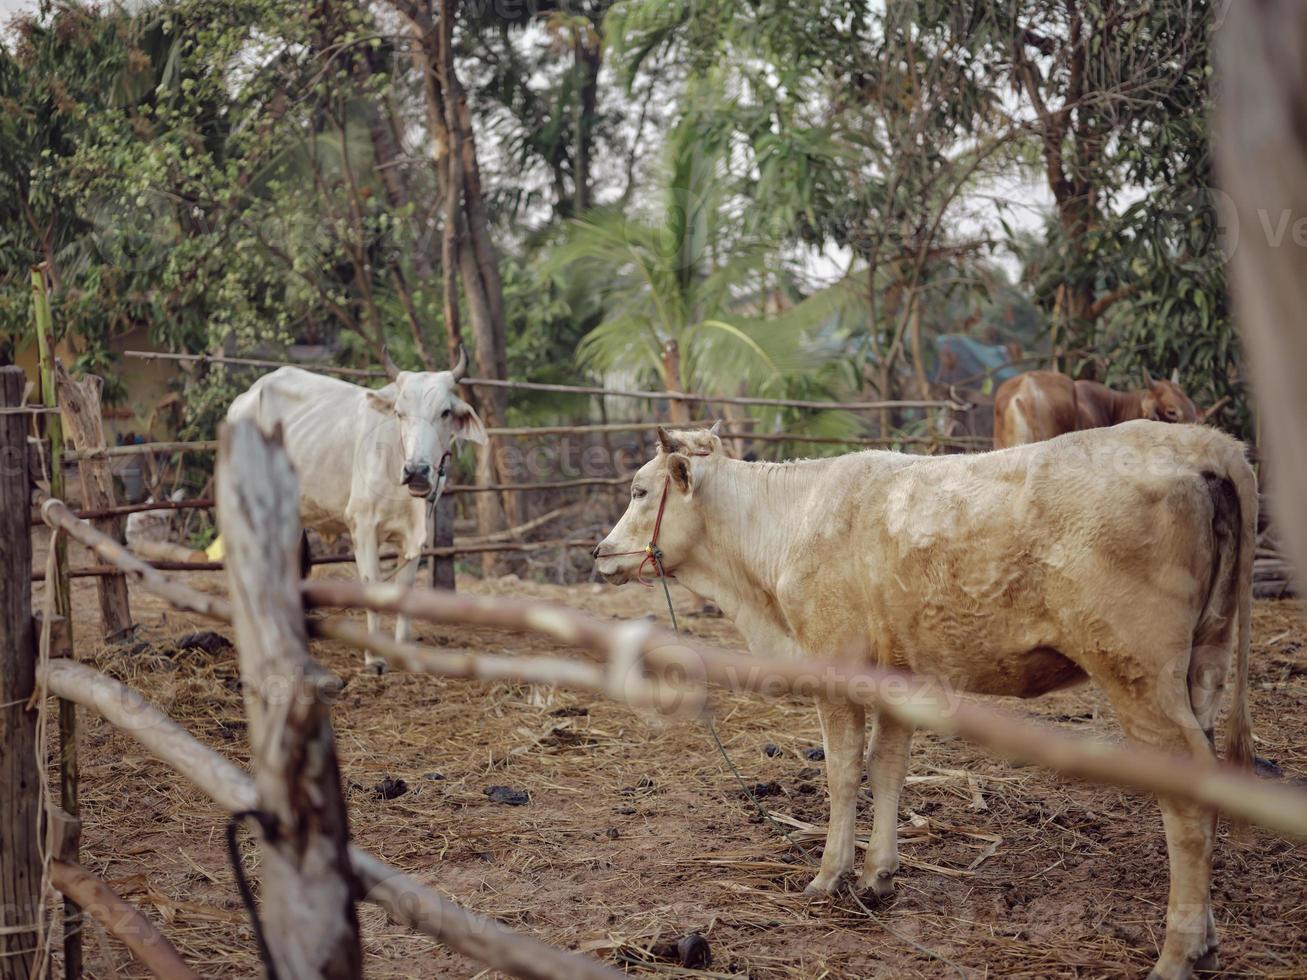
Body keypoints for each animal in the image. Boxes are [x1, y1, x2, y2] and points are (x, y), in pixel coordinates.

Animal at [228, 350, 486, 663]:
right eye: (399, 413)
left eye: (445, 412)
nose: (416, 471)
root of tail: (246, 397)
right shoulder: (362, 526)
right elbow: (371, 583)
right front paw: (374, 657)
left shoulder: (415, 535)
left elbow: (405, 589)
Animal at [595, 423, 1254, 980]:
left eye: (639, 490)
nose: (600, 553)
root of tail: (1201, 442)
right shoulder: (898, 678)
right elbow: (888, 768)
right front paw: (877, 875)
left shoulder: (835, 667)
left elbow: (843, 772)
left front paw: (829, 875)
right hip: (1203, 668)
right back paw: (1206, 943)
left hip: (1137, 672)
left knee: (1186, 799)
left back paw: (1176, 955)